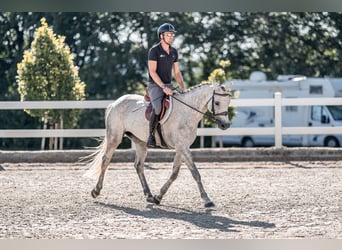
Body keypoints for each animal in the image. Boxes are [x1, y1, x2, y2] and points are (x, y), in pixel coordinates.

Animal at [84, 82, 231, 207]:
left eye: (228, 102)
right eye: (217, 103)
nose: (225, 125)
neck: (186, 112)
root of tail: (114, 103)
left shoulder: (181, 147)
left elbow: (174, 173)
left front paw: (158, 196)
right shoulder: (182, 147)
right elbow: (195, 173)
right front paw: (207, 199)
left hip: (140, 142)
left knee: (138, 165)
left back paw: (149, 194)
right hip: (114, 137)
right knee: (105, 160)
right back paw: (96, 191)